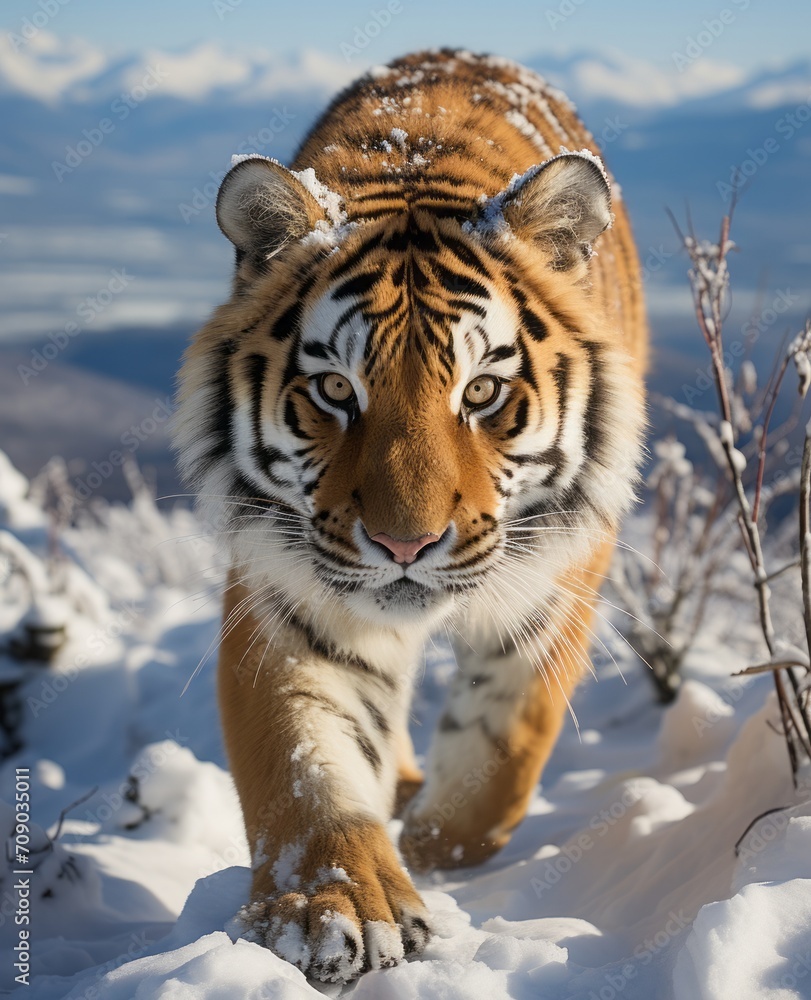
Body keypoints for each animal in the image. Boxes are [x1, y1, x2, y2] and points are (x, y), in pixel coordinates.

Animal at [172, 48, 647, 983]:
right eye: (334, 389)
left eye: (482, 392)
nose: (404, 543)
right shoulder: (291, 595)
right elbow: (305, 762)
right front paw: (338, 907)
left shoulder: (558, 579)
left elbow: (504, 749)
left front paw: (432, 848)